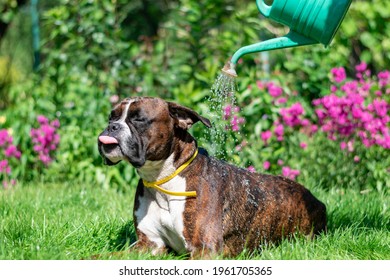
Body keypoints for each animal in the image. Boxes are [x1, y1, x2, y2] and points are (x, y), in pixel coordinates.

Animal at [97, 97, 326, 258]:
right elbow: (103, 256)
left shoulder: (204, 249)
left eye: (138, 119)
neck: (164, 180)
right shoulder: (149, 245)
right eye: (111, 117)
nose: (111, 127)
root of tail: (315, 198)